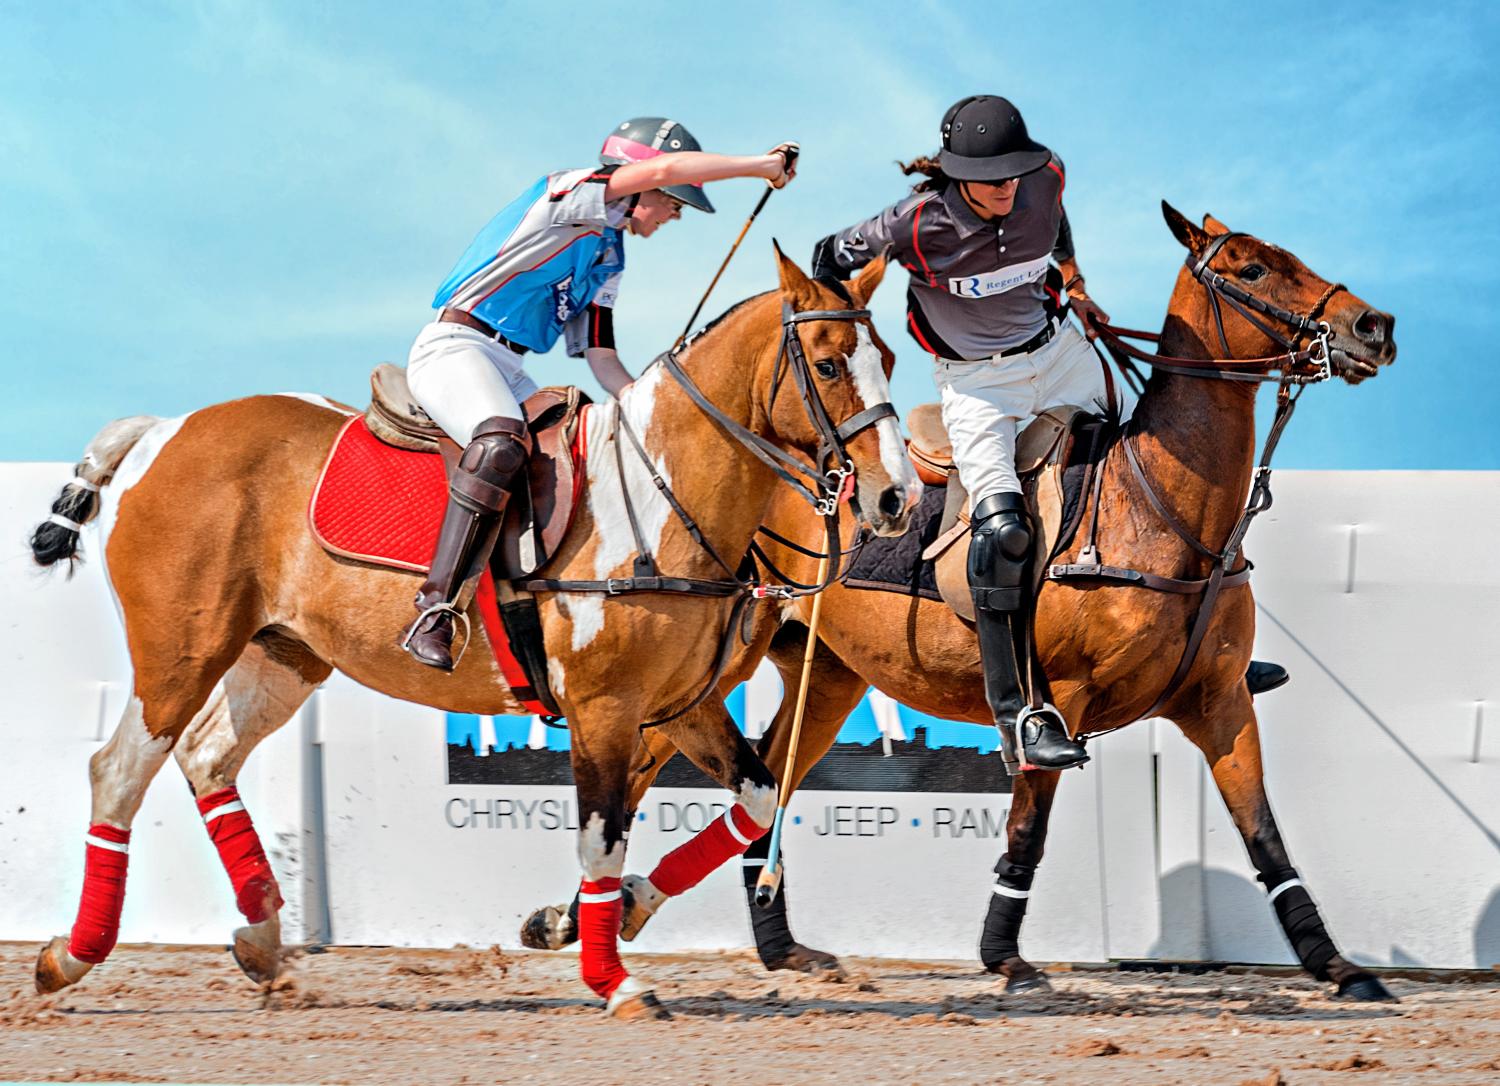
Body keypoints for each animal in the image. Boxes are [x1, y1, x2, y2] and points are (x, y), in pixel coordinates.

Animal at [27, 248, 918, 1019]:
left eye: (890, 357)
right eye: (830, 365)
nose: (896, 499)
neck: (664, 498)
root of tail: (158, 430)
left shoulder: (678, 704)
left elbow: (759, 799)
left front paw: (614, 917)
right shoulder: (603, 708)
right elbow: (601, 842)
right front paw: (614, 980)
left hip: (286, 654)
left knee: (208, 755)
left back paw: (263, 940)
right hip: (181, 650)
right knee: (119, 771)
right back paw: (68, 957)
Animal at [525, 204, 1400, 1002]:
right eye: (1252, 269)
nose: (1374, 325)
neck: (1164, 513)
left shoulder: (1220, 703)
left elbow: (1266, 839)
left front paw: (1339, 967)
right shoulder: (1061, 702)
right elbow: (1027, 828)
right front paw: (1003, 956)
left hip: (823, 678)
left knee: (762, 780)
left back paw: (763, 944)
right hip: (694, 667)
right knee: (641, 767)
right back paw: (580, 919)